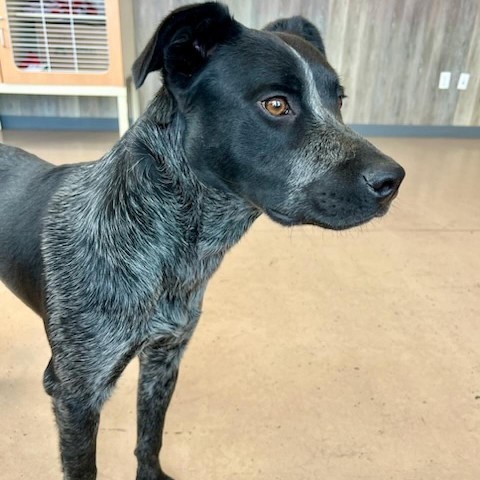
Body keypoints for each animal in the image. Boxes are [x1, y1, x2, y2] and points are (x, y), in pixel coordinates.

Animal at [0, 1, 404, 478]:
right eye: (276, 104)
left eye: (338, 101)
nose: (393, 180)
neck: (168, 246)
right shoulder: (76, 395)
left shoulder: (164, 358)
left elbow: (149, 438)